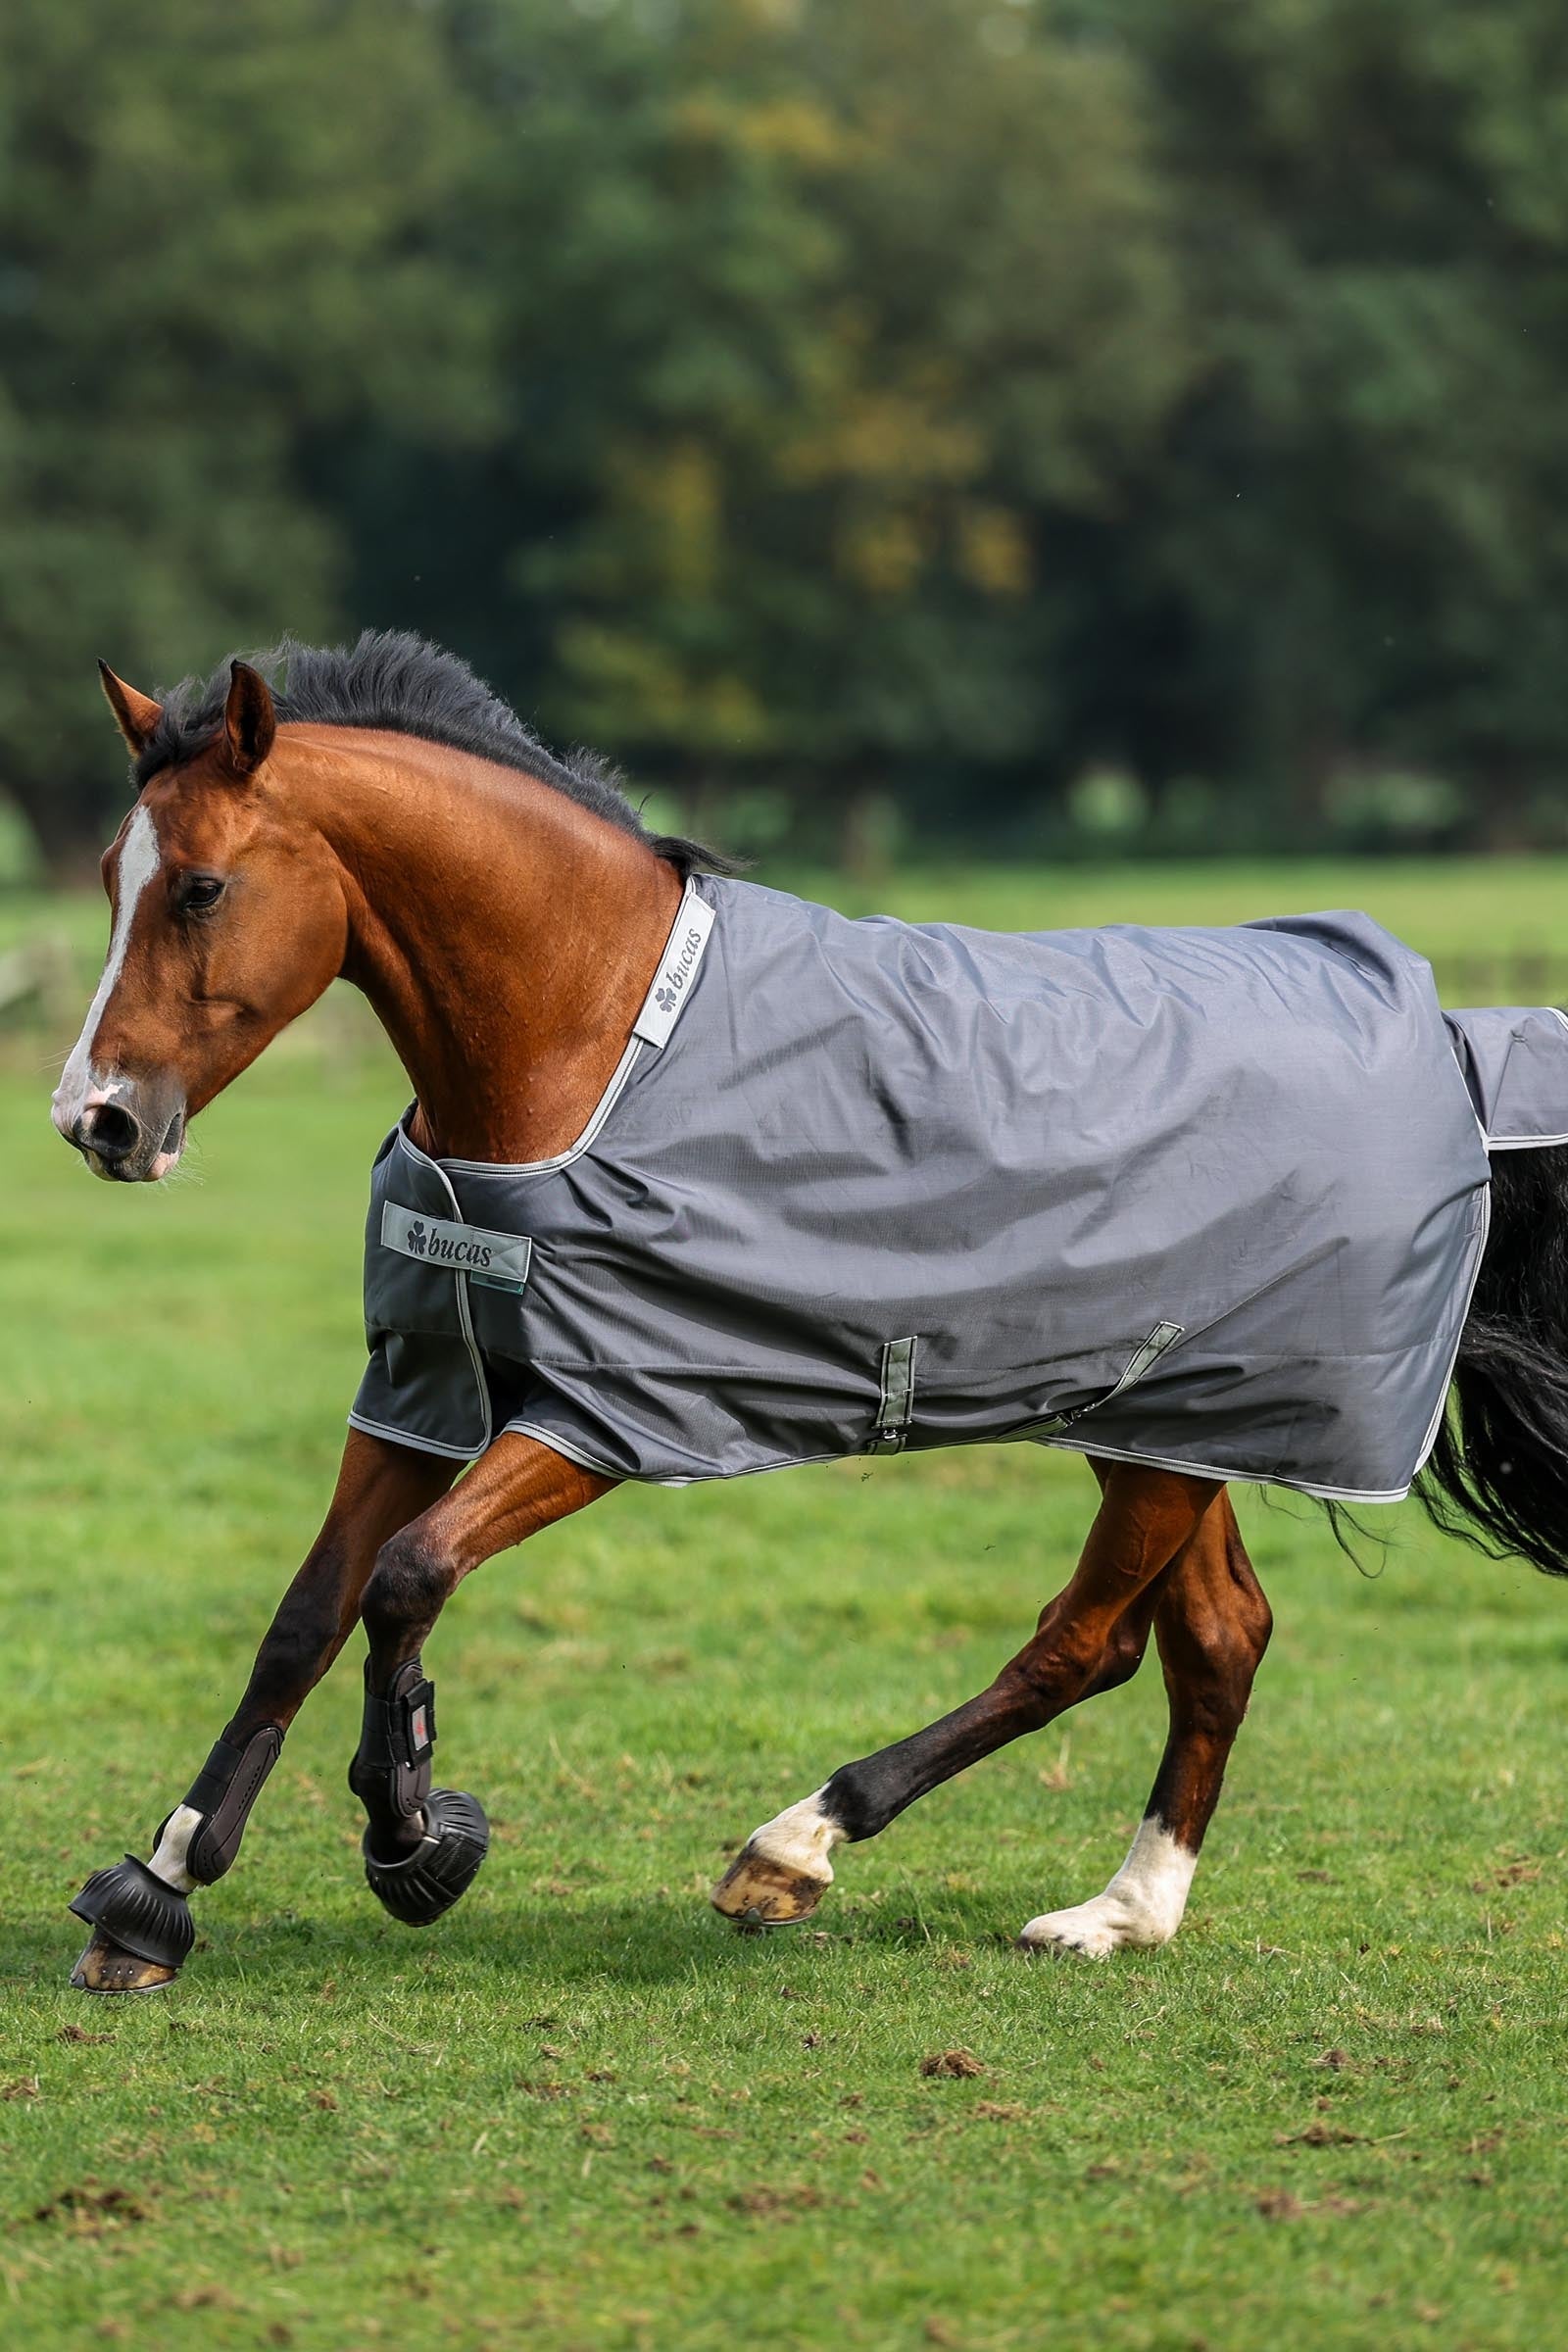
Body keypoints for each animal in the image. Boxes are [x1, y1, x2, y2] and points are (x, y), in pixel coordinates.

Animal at [51, 632, 1568, 1995]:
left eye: (200, 886)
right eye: (114, 878)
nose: (96, 1122)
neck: (591, 1035)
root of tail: (1445, 1042)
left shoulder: (607, 1412)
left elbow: (408, 1578)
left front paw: (414, 1835)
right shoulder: (424, 1380)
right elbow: (308, 1615)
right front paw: (159, 1890)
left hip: (1180, 1423)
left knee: (1090, 1639)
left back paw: (799, 1845)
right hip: (1170, 1422)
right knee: (1213, 1638)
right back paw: (1120, 1914)